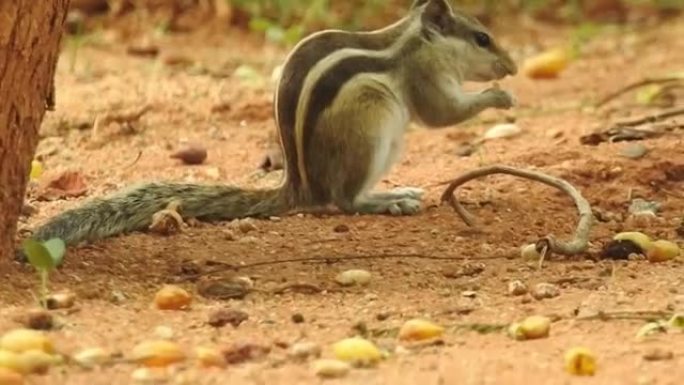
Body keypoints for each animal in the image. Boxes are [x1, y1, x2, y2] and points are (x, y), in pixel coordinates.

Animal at [24, 0, 520, 249]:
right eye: (482, 38)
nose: (513, 66)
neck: (415, 40)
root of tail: (298, 188)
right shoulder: (424, 76)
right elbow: (442, 113)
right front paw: (501, 97)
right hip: (371, 129)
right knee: (343, 200)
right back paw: (389, 201)